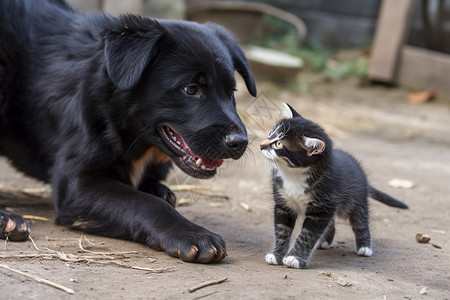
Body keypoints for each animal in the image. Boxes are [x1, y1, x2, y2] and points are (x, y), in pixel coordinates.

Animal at [0, 0, 255, 262]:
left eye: (232, 92)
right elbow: (145, 202)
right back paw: (7, 220)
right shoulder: (77, 184)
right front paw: (192, 234)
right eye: (191, 89)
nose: (240, 142)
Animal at [260, 103, 408, 270]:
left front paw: (295, 258)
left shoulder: (322, 208)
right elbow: (282, 230)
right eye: (270, 134)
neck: (293, 175)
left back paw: (365, 247)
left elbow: (309, 234)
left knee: (360, 221)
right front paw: (277, 255)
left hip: (356, 200)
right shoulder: (283, 204)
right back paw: (325, 241)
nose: (261, 145)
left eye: (279, 144)